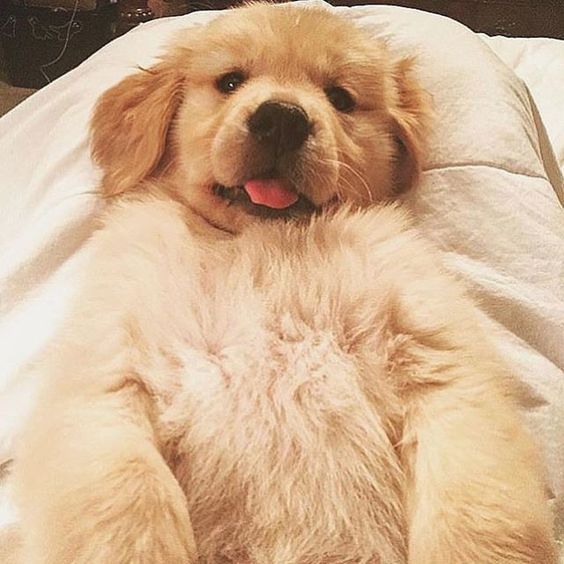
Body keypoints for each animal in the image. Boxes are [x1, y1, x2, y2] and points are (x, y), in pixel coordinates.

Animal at [12, 1, 556, 564]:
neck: (264, 244)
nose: (280, 119)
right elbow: (127, 508)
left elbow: (477, 520)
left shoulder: (445, 373)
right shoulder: (104, 380)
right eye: (230, 81)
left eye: (341, 97)